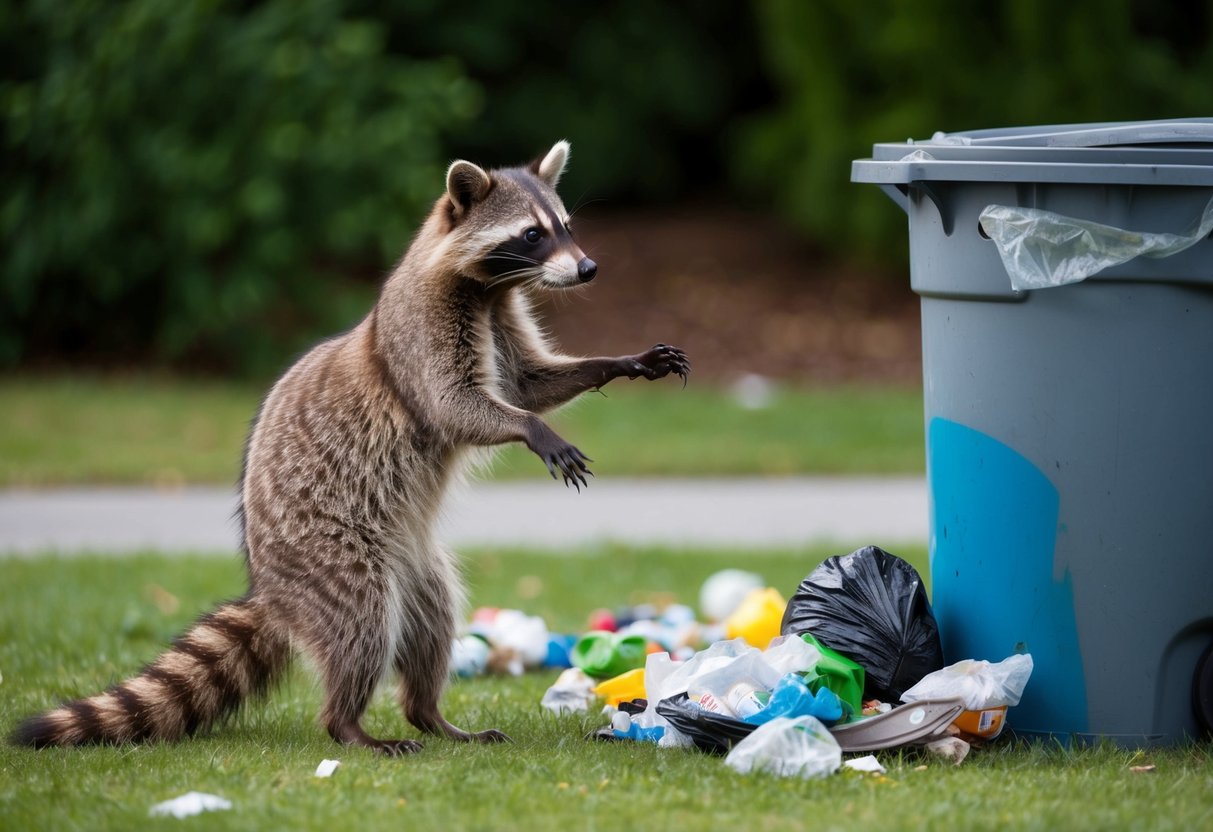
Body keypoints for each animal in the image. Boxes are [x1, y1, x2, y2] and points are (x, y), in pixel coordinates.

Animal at [13, 141, 689, 755]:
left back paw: (430, 714)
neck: (488, 288)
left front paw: (617, 363)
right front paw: (532, 430)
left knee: (431, 624)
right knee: (360, 626)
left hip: (418, 568)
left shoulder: (501, 317)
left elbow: (527, 382)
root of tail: (271, 589)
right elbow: (454, 405)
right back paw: (349, 725)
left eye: (565, 227)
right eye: (530, 235)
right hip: (331, 554)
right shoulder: (420, 331)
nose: (588, 268)